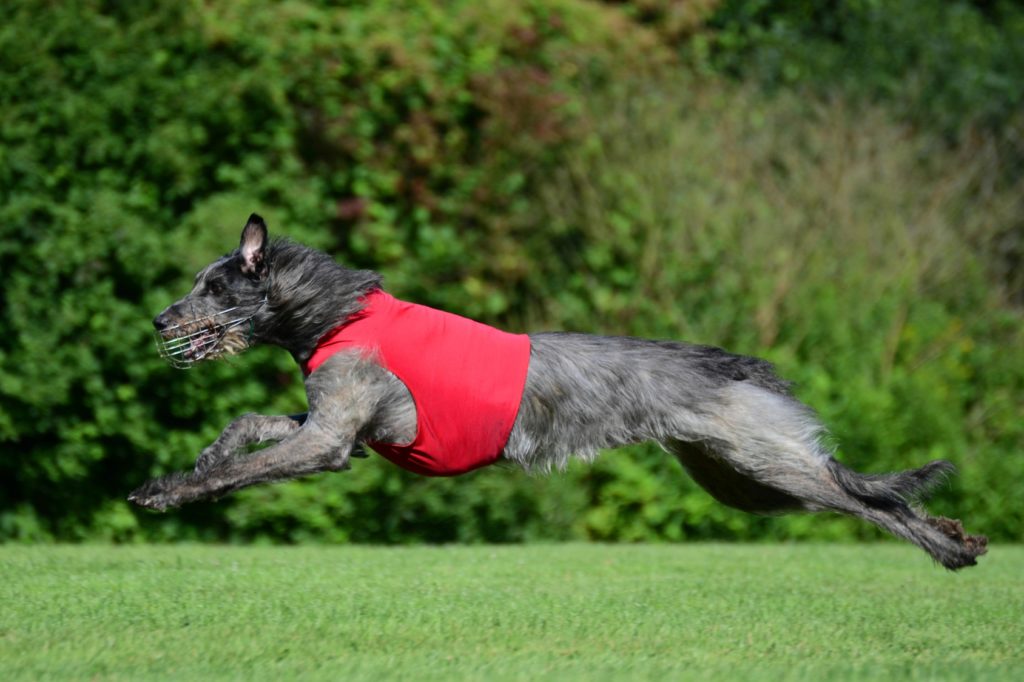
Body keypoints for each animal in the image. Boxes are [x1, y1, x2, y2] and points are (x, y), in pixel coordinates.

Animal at [128, 212, 983, 569]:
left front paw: (167, 492)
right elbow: (247, 426)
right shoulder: (339, 429)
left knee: (865, 497)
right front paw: (201, 458)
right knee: (860, 491)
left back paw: (949, 547)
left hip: (764, 460)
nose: (159, 317)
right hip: (738, 479)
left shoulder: (332, 438)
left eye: (212, 286)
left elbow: (251, 469)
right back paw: (956, 536)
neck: (337, 314)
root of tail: (736, 365)